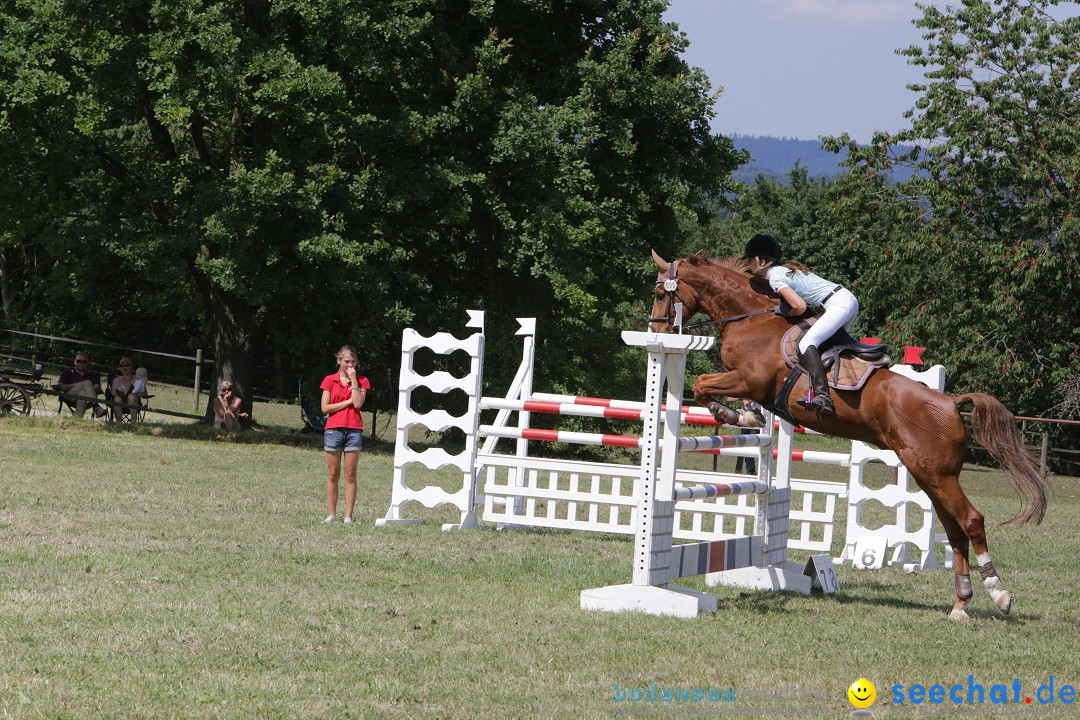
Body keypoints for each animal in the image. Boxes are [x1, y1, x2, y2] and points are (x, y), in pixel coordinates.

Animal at [648, 252, 1045, 621]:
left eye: (659, 293)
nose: (658, 331)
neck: (750, 318)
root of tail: (949, 402)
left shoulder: (749, 379)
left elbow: (702, 385)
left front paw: (732, 414)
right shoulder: (746, 383)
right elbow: (711, 389)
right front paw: (745, 414)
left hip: (937, 474)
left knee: (972, 521)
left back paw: (999, 593)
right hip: (929, 474)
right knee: (955, 530)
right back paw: (960, 604)